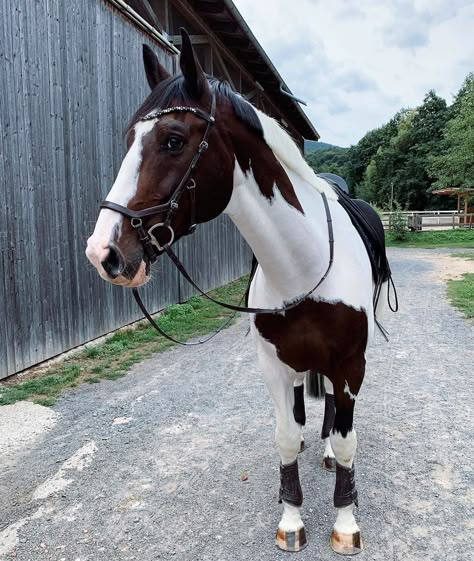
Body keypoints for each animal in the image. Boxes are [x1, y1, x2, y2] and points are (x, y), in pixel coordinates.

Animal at [84, 28, 392, 552]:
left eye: (172, 140)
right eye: (128, 140)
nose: (103, 252)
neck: (305, 264)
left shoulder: (352, 365)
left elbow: (347, 437)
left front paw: (346, 523)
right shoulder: (272, 364)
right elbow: (285, 436)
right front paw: (291, 519)